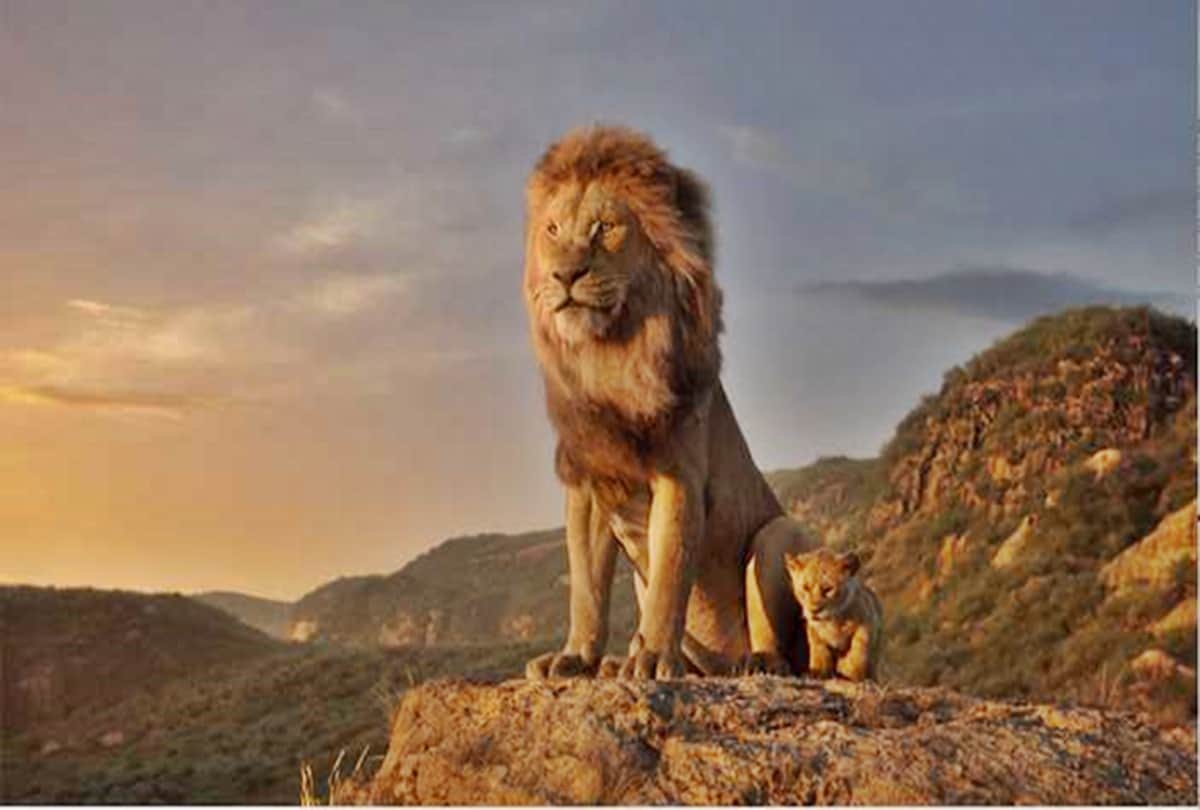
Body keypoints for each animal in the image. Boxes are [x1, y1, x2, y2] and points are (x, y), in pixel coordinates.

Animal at [521, 125, 818, 680]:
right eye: (552, 229)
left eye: (605, 227)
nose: (564, 275)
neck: (610, 356)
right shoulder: (589, 485)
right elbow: (586, 588)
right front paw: (576, 657)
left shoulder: (679, 476)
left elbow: (669, 576)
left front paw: (654, 657)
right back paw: (621, 660)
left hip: (778, 534)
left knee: (784, 650)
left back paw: (756, 662)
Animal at [783, 549, 882, 681]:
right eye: (806, 588)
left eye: (828, 589)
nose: (814, 610)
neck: (832, 620)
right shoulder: (814, 631)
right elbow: (819, 650)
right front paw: (818, 673)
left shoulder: (866, 622)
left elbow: (858, 649)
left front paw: (851, 673)